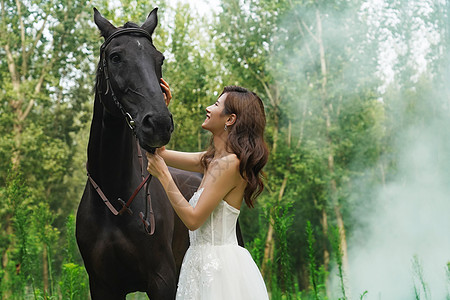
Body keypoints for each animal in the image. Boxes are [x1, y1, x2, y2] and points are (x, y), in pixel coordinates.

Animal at [75, 8, 200, 298]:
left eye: (159, 59)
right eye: (115, 57)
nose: (159, 124)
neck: (115, 203)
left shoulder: (162, 281)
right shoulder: (102, 285)